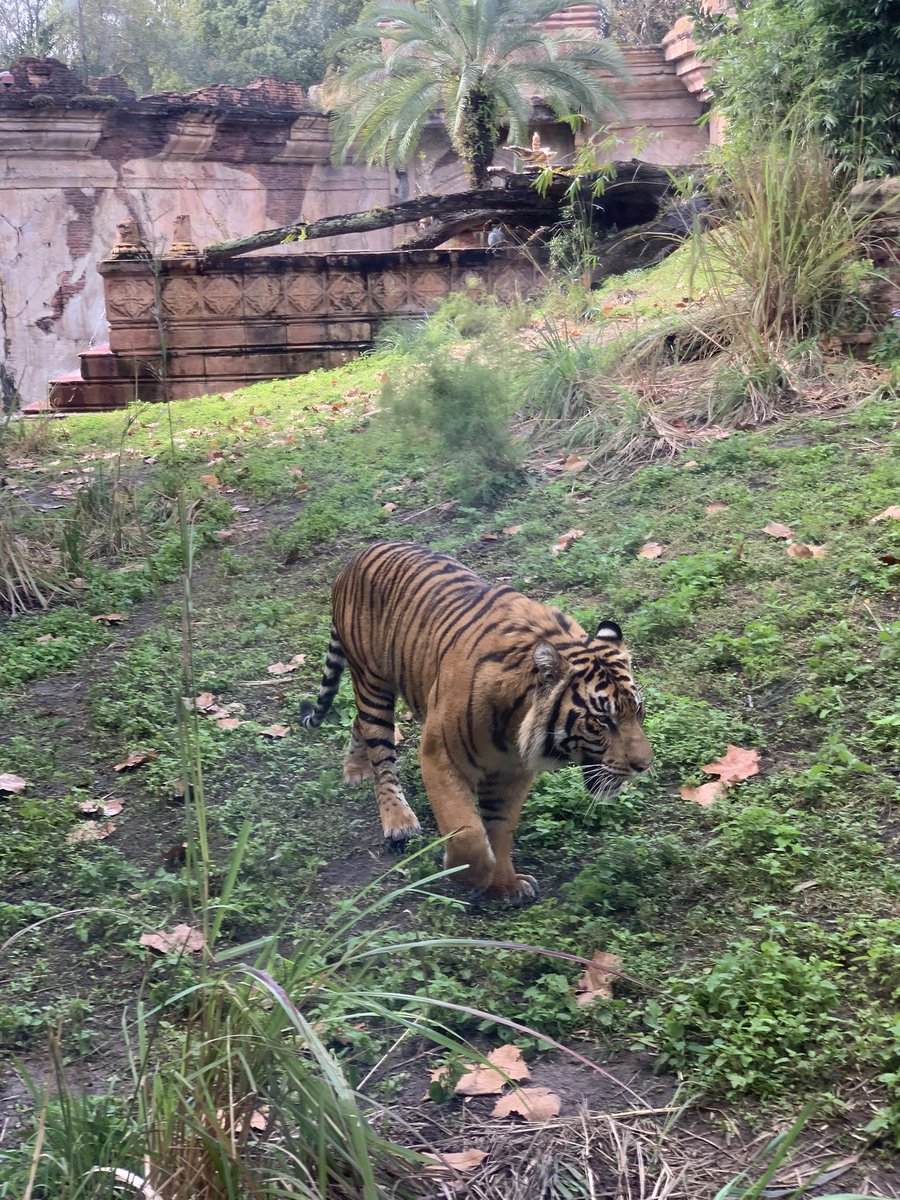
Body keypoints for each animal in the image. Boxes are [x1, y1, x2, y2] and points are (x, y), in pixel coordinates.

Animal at [301, 540, 652, 904]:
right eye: (602, 719)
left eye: (638, 711)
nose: (645, 765)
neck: (515, 725)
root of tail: (356, 558)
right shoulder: (439, 755)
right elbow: (466, 829)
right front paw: (470, 875)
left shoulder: (513, 770)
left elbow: (499, 827)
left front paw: (504, 884)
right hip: (373, 683)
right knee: (381, 753)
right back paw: (398, 820)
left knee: (360, 723)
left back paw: (355, 769)